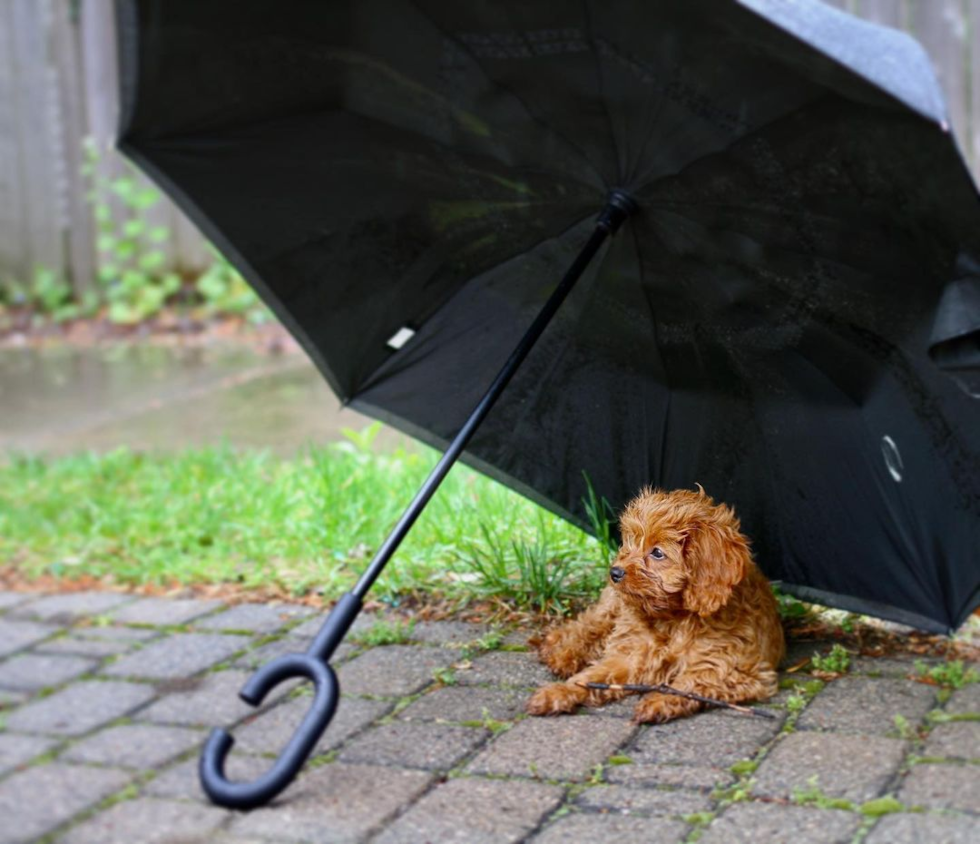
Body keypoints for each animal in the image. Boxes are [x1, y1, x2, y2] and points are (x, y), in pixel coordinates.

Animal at [524, 488, 784, 724]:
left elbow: (691, 683)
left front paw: (658, 702)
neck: (675, 617)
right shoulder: (631, 654)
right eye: (629, 542)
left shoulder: (736, 670)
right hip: (613, 605)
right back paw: (560, 653)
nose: (614, 572)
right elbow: (592, 674)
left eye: (657, 553)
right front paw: (557, 692)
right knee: (589, 625)